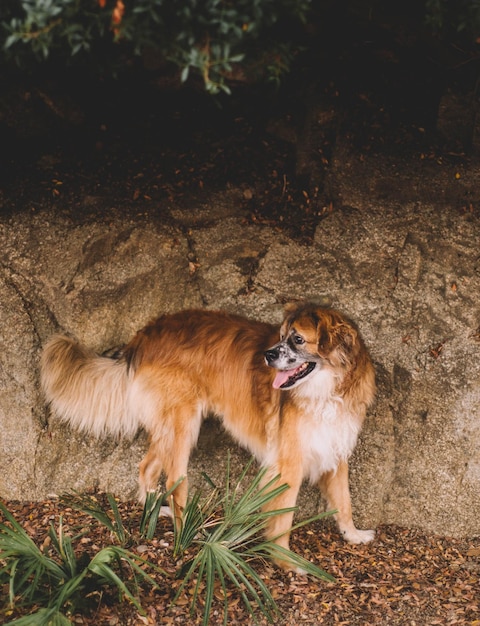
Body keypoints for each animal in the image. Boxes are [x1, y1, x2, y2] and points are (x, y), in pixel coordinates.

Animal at [41, 300, 376, 568]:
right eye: (281, 337)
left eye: (297, 339)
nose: (267, 355)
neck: (329, 391)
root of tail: (147, 332)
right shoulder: (288, 462)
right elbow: (283, 516)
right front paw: (286, 561)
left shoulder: (335, 448)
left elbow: (344, 500)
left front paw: (353, 534)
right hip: (183, 423)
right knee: (174, 482)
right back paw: (183, 532)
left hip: (168, 425)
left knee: (146, 467)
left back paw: (154, 511)